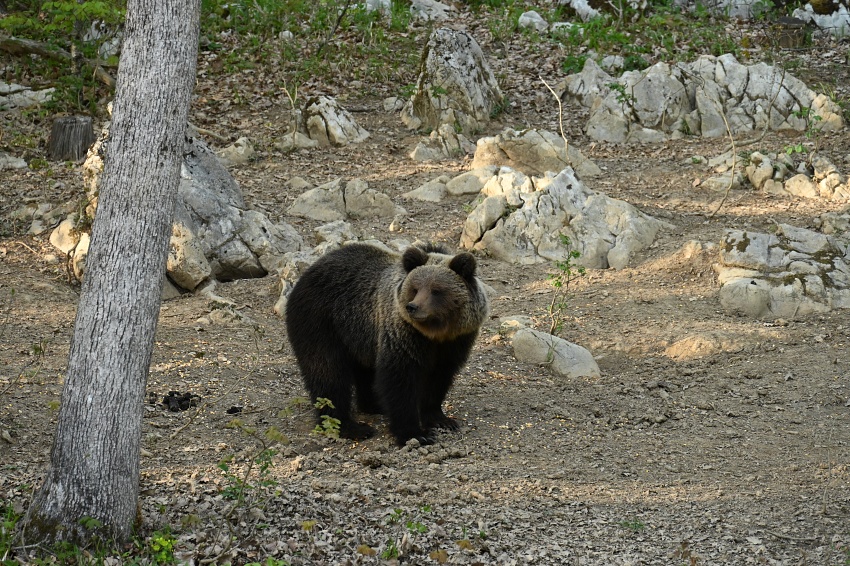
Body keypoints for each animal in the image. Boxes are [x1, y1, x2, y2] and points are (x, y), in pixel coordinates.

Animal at [284, 242, 486, 446]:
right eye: (415, 288)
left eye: (436, 290)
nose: (413, 307)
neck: (435, 334)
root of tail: (310, 270)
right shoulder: (404, 335)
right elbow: (399, 379)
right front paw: (415, 433)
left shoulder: (455, 343)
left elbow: (439, 379)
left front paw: (442, 420)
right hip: (321, 322)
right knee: (327, 372)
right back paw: (351, 426)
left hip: (359, 335)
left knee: (364, 372)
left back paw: (374, 404)